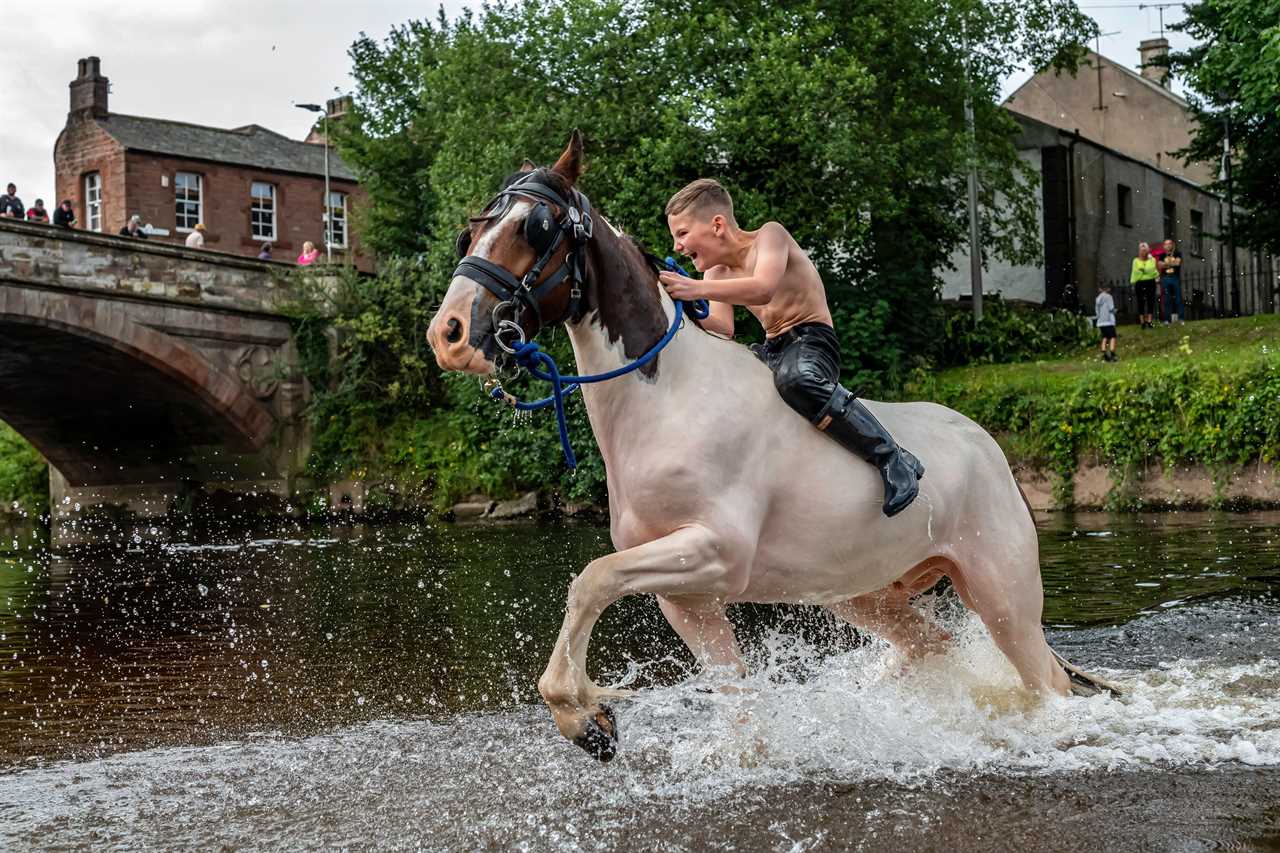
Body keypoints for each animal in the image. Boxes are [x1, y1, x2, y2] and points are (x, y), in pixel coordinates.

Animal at [427, 131, 1111, 758]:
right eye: (473, 230)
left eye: (536, 228)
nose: (449, 334)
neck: (670, 402)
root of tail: (987, 445)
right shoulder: (687, 595)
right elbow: (731, 688)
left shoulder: (716, 552)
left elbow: (590, 580)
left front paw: (583, 716)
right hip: (866, 594)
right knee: (934, 648)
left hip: (1002, 594)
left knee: (1046, 681)